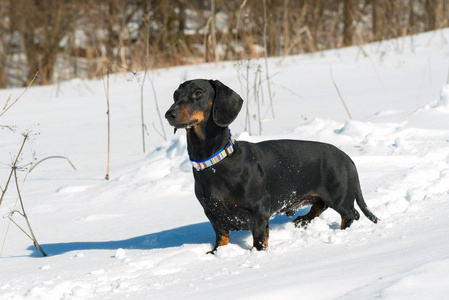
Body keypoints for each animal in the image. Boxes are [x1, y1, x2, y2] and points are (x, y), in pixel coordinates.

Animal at [163, 79, 376, 253]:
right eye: (175, 94)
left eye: (198, 93)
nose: (169, 114)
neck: (215, 163)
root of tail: (347, 158)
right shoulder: (213, 214)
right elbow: (221, 238)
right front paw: (216, 253)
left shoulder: (259, 208)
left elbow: (259, 237)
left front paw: (257, 253)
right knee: (319, 206)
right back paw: (302, 221)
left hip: (340, 198)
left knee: (351, 215)